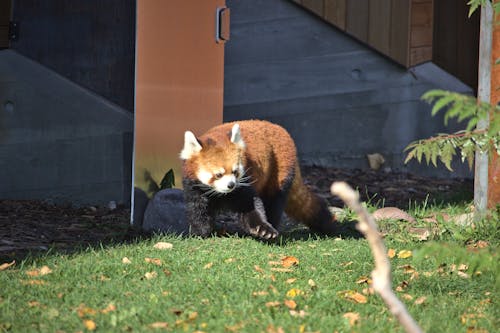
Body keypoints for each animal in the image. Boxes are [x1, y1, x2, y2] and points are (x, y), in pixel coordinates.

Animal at [180, 119, 336, 239]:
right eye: (218, 174)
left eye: (235, 172)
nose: (231, 185)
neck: (221, 194)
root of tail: (280, 128)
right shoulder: (195, 187)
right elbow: (198, 209)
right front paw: (201, 232)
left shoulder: (244, 184)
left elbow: (250, 206)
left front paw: (264, 230)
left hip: (279, 168)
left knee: (274, 201)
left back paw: (272, 223)